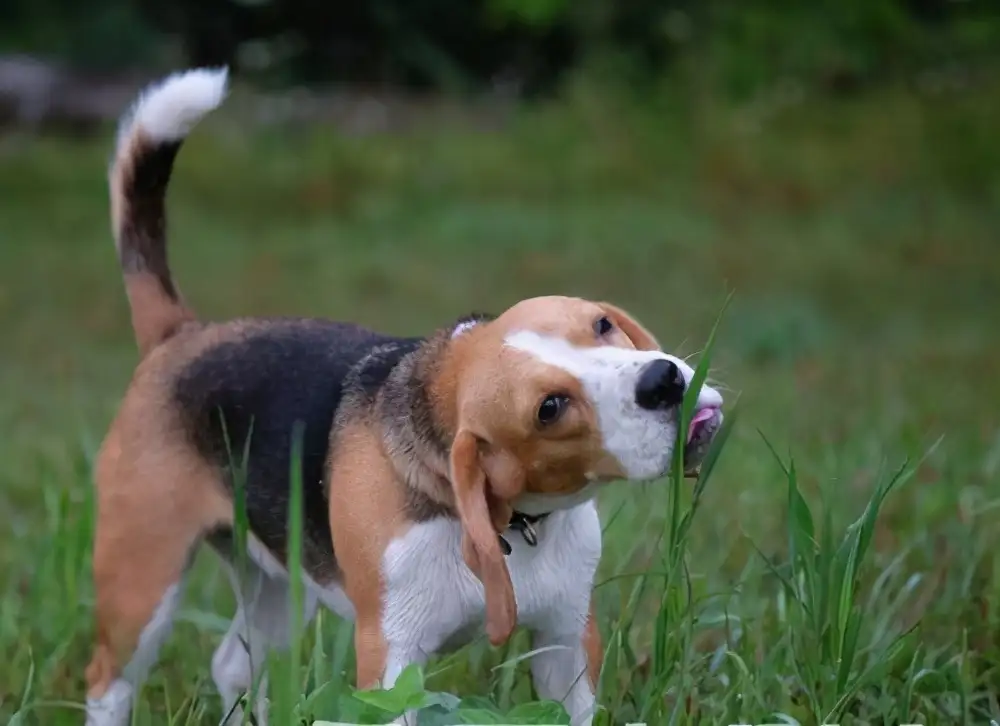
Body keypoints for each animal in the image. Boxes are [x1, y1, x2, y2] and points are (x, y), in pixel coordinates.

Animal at [84, 69, 728, 726]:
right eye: (549, 409)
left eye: (601, 324)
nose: (663, 381)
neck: (516, 523)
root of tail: (182, 335)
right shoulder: (392, 662)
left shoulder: (567, 642)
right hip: (143, 584)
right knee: (108, 682)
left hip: (278, 590)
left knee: (233, 667)